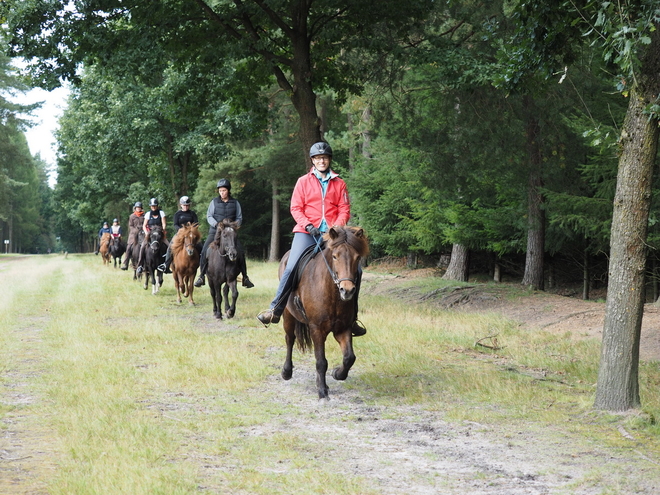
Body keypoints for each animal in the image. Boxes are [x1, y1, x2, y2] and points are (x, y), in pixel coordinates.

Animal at [280, 225, 368, 400]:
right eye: (334, 256)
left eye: (357, 258)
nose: (347, 290)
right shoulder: (317, 328)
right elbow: (321, 361)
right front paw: (321, 392)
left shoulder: (343, 328)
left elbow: (349, 357)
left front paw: (337, 374)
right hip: (288, 315)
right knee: (290, 339)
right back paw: (286, 372)